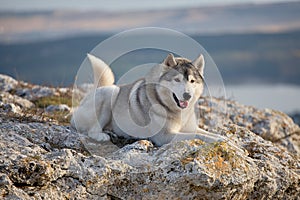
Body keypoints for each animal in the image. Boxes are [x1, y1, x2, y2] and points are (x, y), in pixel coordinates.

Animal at [71, 53, 224, 146]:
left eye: (192, 81)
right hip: (111, 92)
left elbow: (207, 133)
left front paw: (224, 138)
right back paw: (102, 135)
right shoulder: (164, 136)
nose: (187, 95)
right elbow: (198, 136)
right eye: (177, 80)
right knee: (90, 130)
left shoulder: (190, 127)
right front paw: (216, 139)